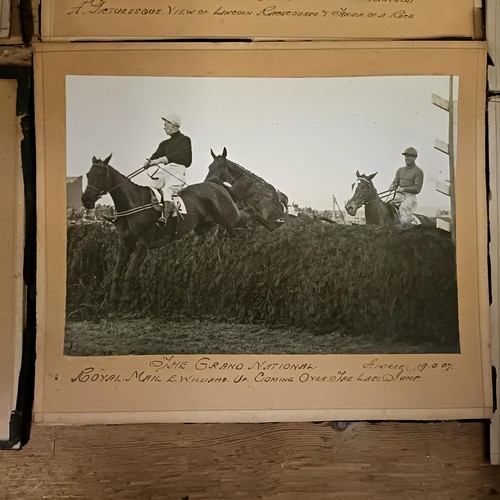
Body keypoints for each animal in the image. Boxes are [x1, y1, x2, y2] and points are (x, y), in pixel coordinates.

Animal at [83, 154, 278, 314]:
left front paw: (126, 305)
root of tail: (215, 184)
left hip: (230, 215)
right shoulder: (125, 244)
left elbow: (129, 274)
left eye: (100, 175)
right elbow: (117, 273)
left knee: (251, 210)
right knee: (232, 226)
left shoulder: (142, 246)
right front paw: (112, 305)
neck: (134, 203)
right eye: (88, 175)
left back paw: (274, 226)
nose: (86, 200)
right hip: (207, 225)